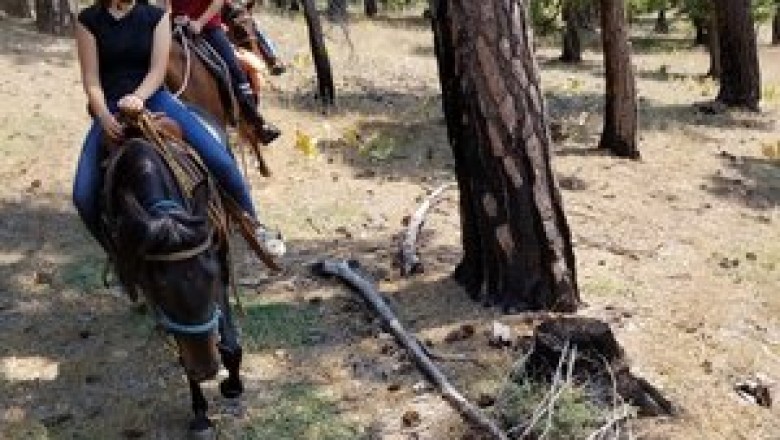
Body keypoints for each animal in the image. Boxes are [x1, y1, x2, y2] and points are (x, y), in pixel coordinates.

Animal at [101, 111, 243, 438]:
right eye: (159, 287)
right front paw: (201, 415)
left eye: (211, 275)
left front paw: (232, 385)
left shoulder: (219, 266)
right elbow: (182, 351)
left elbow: (230, 343)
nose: (206, 369)